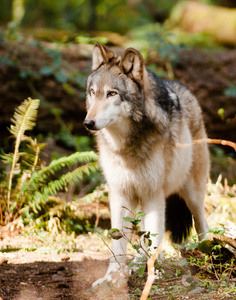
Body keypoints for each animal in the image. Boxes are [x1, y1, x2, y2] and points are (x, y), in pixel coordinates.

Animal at [84, 42, 209, 286]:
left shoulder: (154, 193)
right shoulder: (121, 193)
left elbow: (153, 238)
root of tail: (185, 88)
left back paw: (209, 251)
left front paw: (151, 276)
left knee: (202, 223)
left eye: (112, 93)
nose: (88, 122)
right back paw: (136, 264)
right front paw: (112, 277)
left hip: (191, 194)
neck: (126, 147)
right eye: (93, 92)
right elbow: (118, 243)